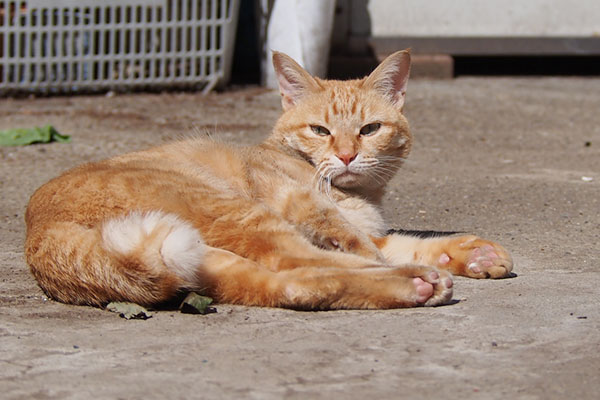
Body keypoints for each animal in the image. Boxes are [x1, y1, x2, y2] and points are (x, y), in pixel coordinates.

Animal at [23, 50, 510, 310]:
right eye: (320, 130)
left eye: (370, 129)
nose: (347, 156)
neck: (356, 194)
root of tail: (40, 233)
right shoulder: (303, 206)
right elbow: (367, 246)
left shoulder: (365, 228)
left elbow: (406, 240)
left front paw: (473, 254)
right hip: (239, 211)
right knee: (298, 260)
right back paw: (413, 279)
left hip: (205, 259)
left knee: (294, 283)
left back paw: (412, 284)